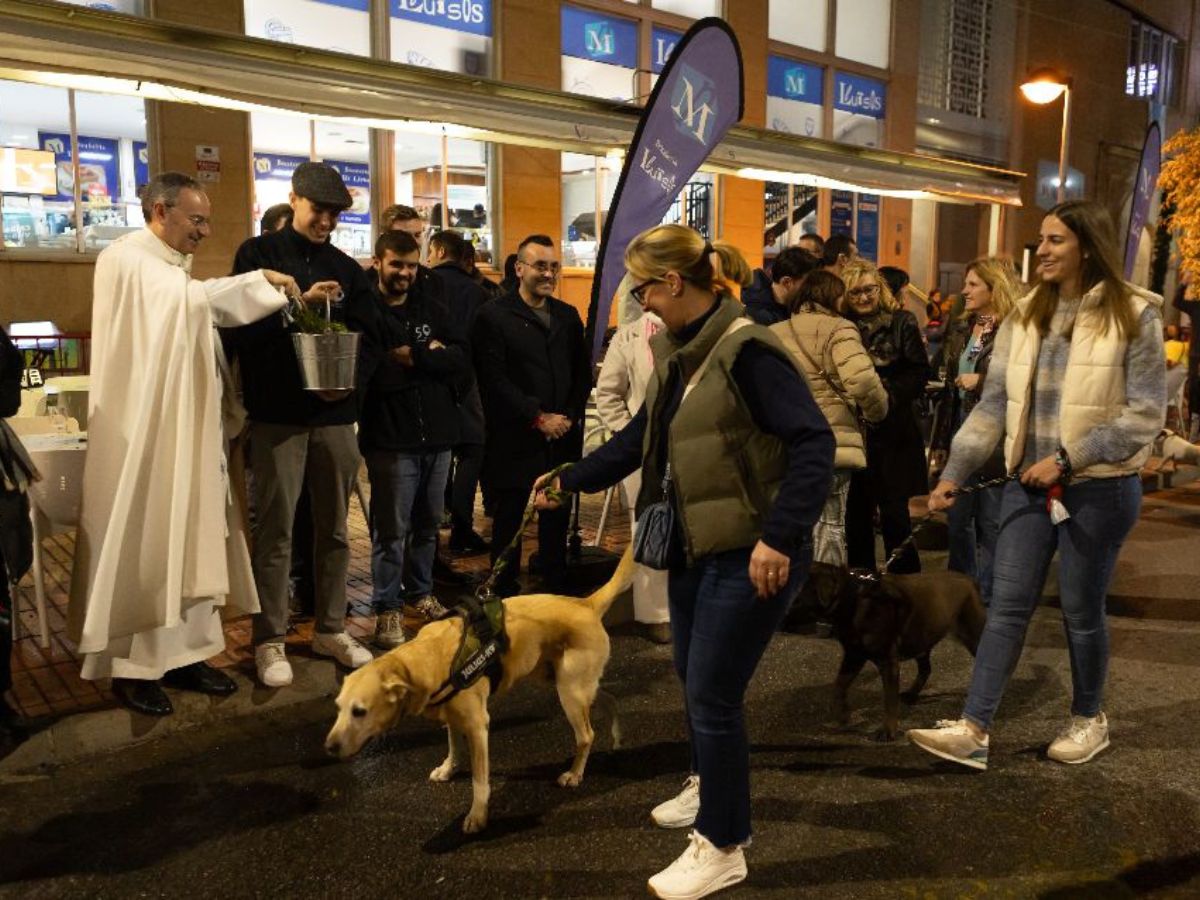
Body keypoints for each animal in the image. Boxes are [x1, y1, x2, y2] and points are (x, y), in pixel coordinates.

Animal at [319, 547, 638, 835]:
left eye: (360, 711)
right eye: (338, 709)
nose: (329, 748)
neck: (424, 660)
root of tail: (587, 603)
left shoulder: (477, 725)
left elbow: (479, 780)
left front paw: (477, 815)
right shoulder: (451, 714)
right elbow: (453, 746)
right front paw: (448, 769)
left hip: (570, 691)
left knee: (587, 735)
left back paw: (574, 774)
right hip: (564, 681)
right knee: (610, 699)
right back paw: (617, 738)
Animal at [796, 566, 984, 744]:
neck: (853, 597)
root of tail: (970, 580)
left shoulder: (887, 662)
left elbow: (889, 700)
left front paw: (888, 730)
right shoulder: (853, 655)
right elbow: (839, 685)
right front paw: (841, 714)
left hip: (973, 636)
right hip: (921, 637)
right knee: (926, 669)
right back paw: (911, 694)